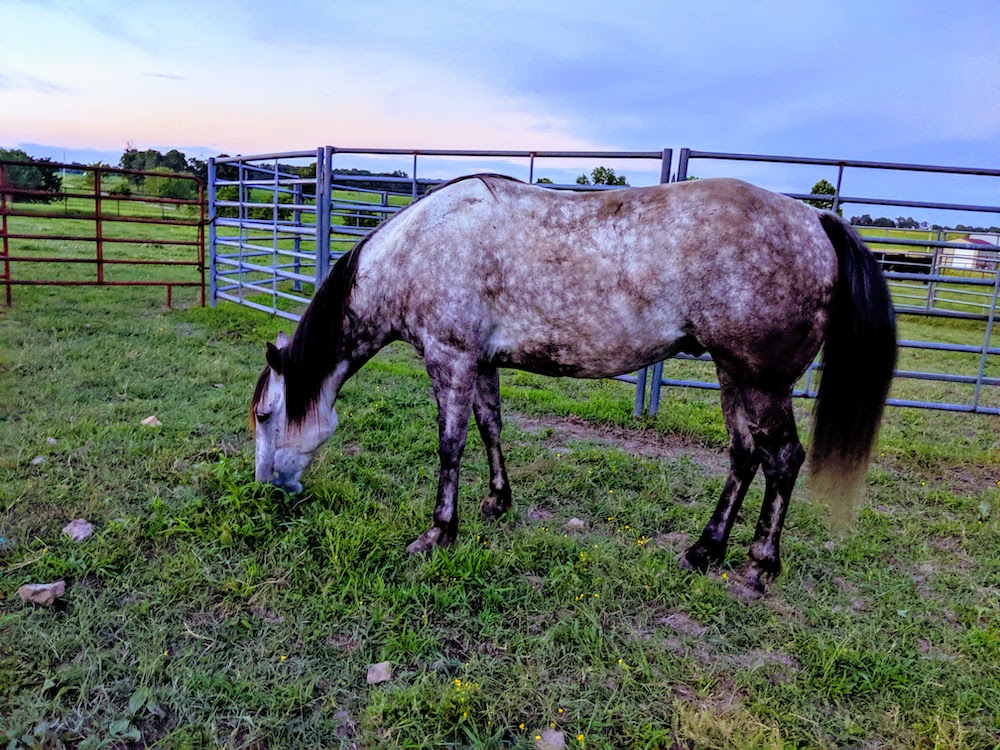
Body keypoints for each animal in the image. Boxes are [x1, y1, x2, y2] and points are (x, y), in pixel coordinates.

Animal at [252, 176, 900, 592]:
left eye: (264, 416)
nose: (267, 489)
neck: (419, 248)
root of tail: (815, 219)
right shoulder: (481, 362)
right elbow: (490, 426)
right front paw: (497, 502)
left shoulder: (450, 359)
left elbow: (449, 446)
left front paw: (438, 533)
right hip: (731, 373)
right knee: (745, 455)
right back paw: (704, 550)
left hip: (762, 380)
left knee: (782, 458)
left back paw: (760, 564)